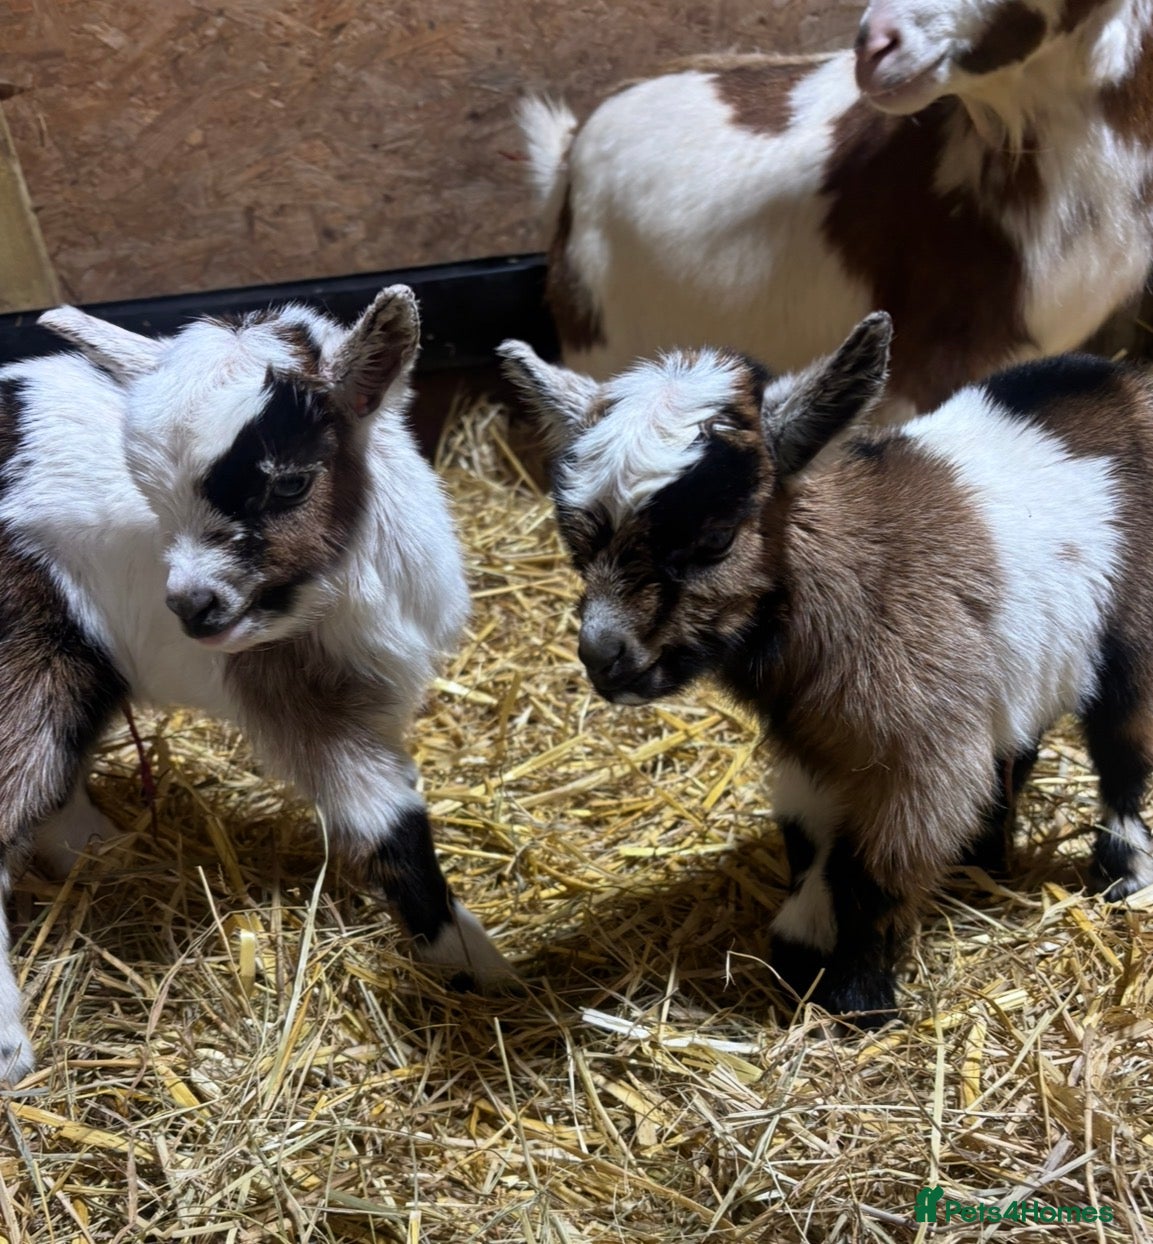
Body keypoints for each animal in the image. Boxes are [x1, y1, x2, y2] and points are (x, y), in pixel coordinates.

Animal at [0, 287, 512, 1081]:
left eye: (290, 482)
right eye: (151, 492)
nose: (191, 606)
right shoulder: (301, 696)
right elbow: (389, 817)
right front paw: (472, 961)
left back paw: (109, 853)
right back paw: (12, 1049)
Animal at [497, 318, 1153, 1025]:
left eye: (716, 539)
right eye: (577, 542)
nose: (602, 656)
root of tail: (1125, 379)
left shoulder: (922, 758)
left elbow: (870, 872)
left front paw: (858, 999)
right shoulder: (816, 746)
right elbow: (809, 839)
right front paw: (801, 943)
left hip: (1131, 645)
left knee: (1122, 753)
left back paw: (1121, 871)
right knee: (1019, 745)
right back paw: (985, 857)